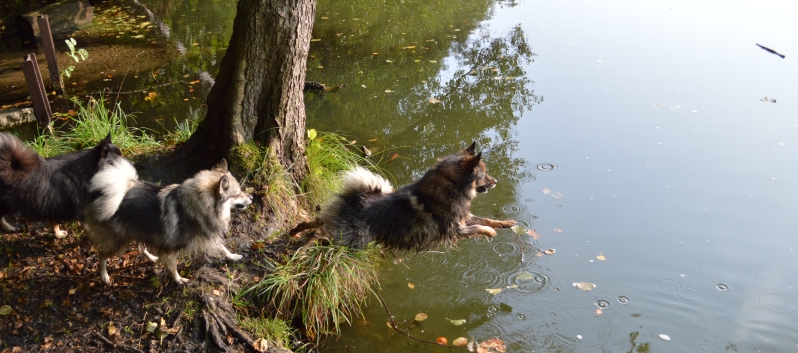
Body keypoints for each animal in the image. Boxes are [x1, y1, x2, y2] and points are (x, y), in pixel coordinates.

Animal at [83, 157, 252, 284]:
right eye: (237, 194)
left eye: (241, 191)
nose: (251, 197)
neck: (197, 205)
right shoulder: (172, 246)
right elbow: (173, 264)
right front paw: (178, 279)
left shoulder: (206, 235)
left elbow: (222, 247)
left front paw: (232, 256)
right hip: (117, 240)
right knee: (102, 255)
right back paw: (104, 276)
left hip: (137, 229)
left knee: (140, 246)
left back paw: (152, 257)